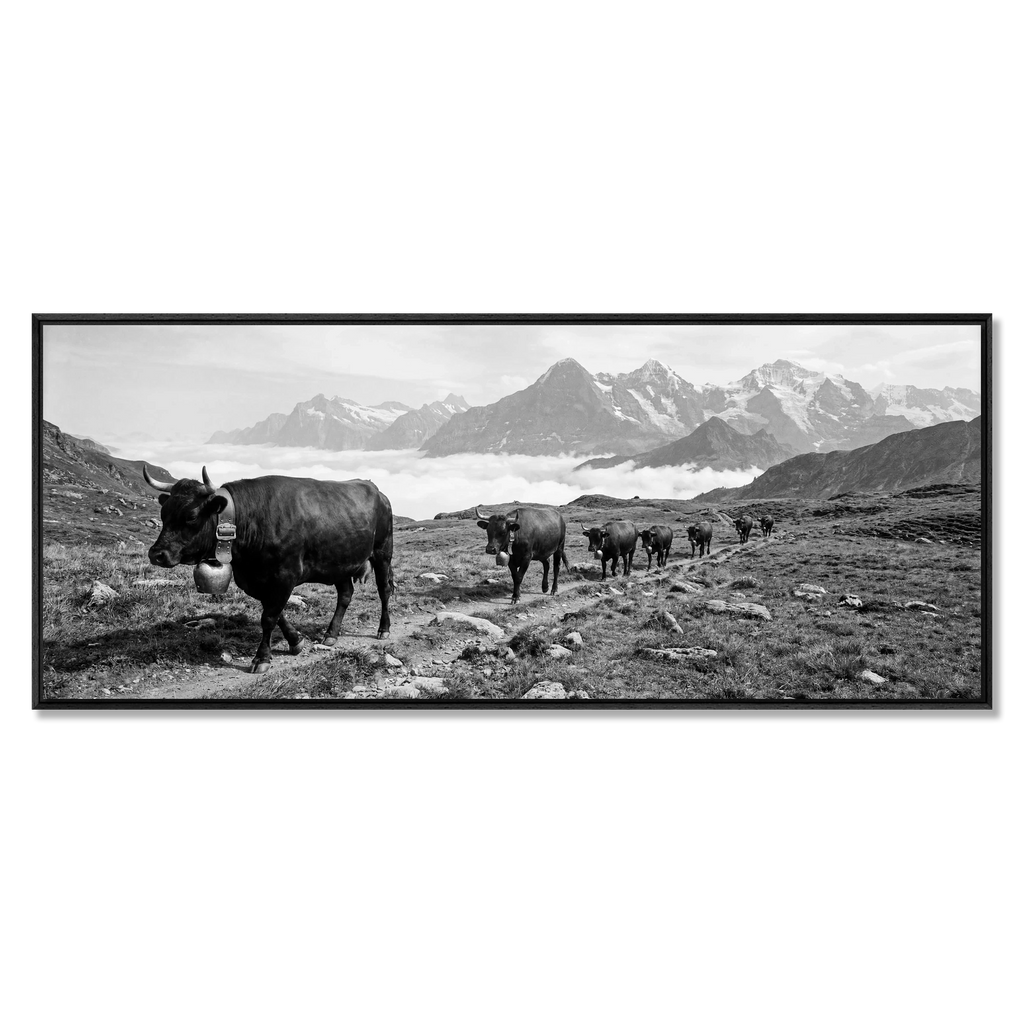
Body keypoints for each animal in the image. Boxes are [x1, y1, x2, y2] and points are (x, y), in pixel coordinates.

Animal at [144, 465, 394, 673]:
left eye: (191, 516)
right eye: (164, 513)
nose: (156, 554)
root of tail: (376, 489)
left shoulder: (285, 576)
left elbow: (269, 617)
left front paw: (261, 658)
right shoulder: (254, 580)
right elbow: (274, 612)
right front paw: (296, 641)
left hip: (383, 551)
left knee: (384, 590)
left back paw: (383, 629)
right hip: (339, 562)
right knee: (345, 595)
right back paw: (331, 634)